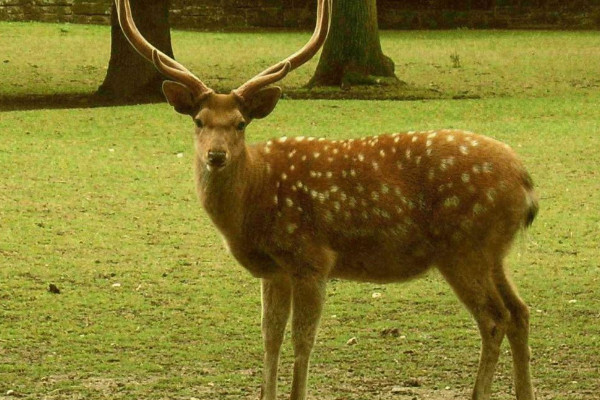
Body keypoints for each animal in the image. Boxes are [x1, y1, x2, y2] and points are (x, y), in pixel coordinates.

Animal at [116, 0, 540, 400]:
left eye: (240, 123)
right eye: (198, 120)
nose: (216, 156)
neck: (254, 201)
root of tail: (526, 181)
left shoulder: (312, 259)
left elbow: (302, 340)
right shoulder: (274, 270)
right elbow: (269, 338)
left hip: (464, 248)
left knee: (494, 318)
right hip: (493, 253)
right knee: (520, 311)